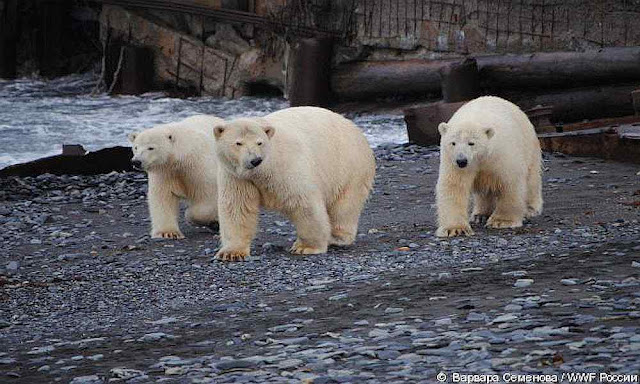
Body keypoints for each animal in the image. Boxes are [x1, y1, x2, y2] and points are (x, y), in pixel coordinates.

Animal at [212, 106, 378, 262]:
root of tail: (355, 128)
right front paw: (232, 253)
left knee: (344, 206)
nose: (255, 160)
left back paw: (337, 237)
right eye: (238, 143)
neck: (262, 171)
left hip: (349, 166)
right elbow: (237, 208)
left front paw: (305, 247)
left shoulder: (286, 166)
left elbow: (303, 202)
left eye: (259, 142)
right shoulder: (236, 177)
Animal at [432, 96, 544, 237]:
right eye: (453, 143)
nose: (461, 161)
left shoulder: (501, 155)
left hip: (529, 144)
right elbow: (454, 186)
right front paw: (455, 229)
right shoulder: (452, 161)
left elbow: (510, 182)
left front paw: (501, 221)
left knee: (531, 179)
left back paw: (530, 209)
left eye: (471, 143)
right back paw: (480, 215)